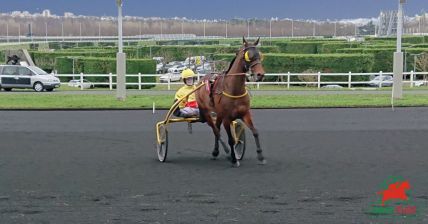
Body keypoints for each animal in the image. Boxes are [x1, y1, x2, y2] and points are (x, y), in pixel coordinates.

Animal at [196, 36, 264, 166]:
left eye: (260, 55)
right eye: (249, 56)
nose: (260, 74)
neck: (234, 89)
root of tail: (202, 79)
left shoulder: (245, 114)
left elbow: (255, 132)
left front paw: (260, 156)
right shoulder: (227, 118)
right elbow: (231, 140)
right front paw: (233, 158)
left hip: (218, 114)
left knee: (217, 128)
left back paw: (217, 151)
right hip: (207, 112)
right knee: (215, 130)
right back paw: (222, 152)